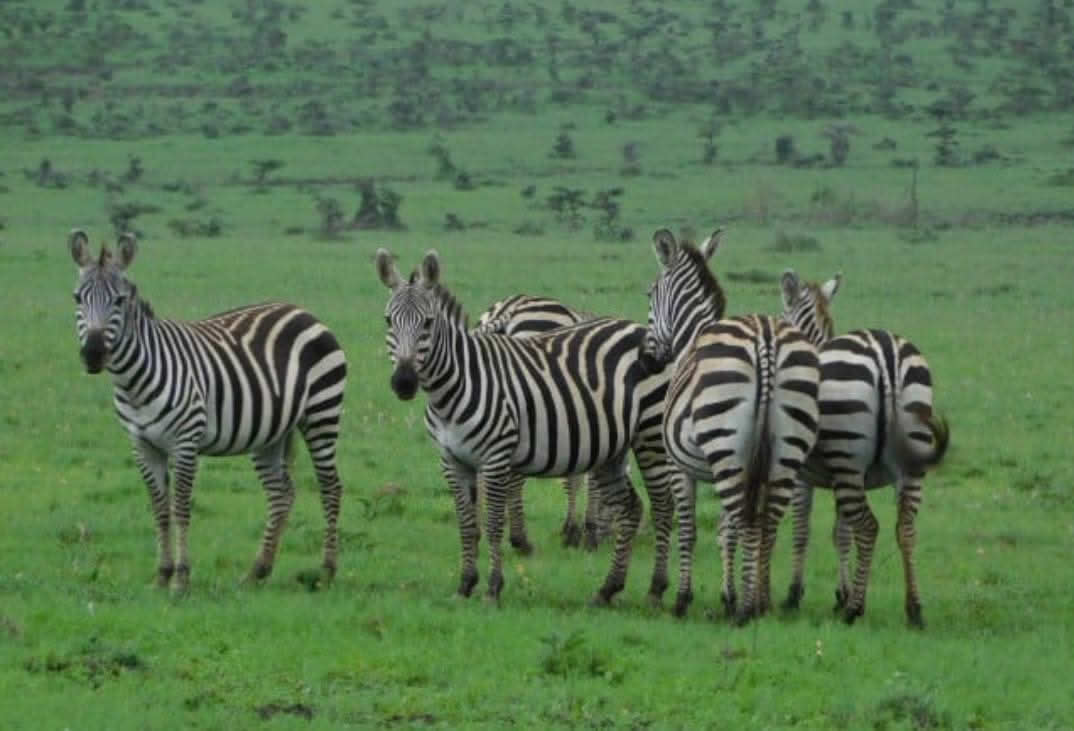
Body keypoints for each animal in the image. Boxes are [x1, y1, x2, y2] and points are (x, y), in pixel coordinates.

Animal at [68, 230, 347, 592]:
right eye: (77, 298)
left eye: (119, 301)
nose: (92, 353)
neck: (135, 384)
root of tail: (303, 311)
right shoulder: (142, 445)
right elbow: (160, 509)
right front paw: (162, 574)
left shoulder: (185, 442)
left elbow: (181, 508)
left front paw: (181, 578)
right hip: (271, 432)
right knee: (281, 493)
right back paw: (258, 571)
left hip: (322, 414)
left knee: (330, 486)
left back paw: (326, 571)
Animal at [474, 294, 611, 550]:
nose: (609, 533)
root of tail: (506, 308)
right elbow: (582, 480)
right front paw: (579, 530)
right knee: (514, 477)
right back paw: (520, 539)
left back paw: (478, 528)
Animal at [639, 228, 821, 624]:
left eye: (650, 293)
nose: (646, 360)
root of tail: (765, 340)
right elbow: (726, 531)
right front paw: (729, 593)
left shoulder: (681, 466)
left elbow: (690, 529)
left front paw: (685, 598)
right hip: (784, 450)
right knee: (766, 523)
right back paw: (759, 602)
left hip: (725, 444)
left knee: (745, 517)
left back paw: (746, 609)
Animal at [778, 270, 950, 627]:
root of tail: (887, 354)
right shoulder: (840, 477)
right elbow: (842, 533)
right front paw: (842, 593)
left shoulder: (802, 475)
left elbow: (803, 530)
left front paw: (794, 595)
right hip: (903, 463)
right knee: (906, 529)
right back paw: (914, 609)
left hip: (848, 459)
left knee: (870, 527)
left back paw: (855, 611)